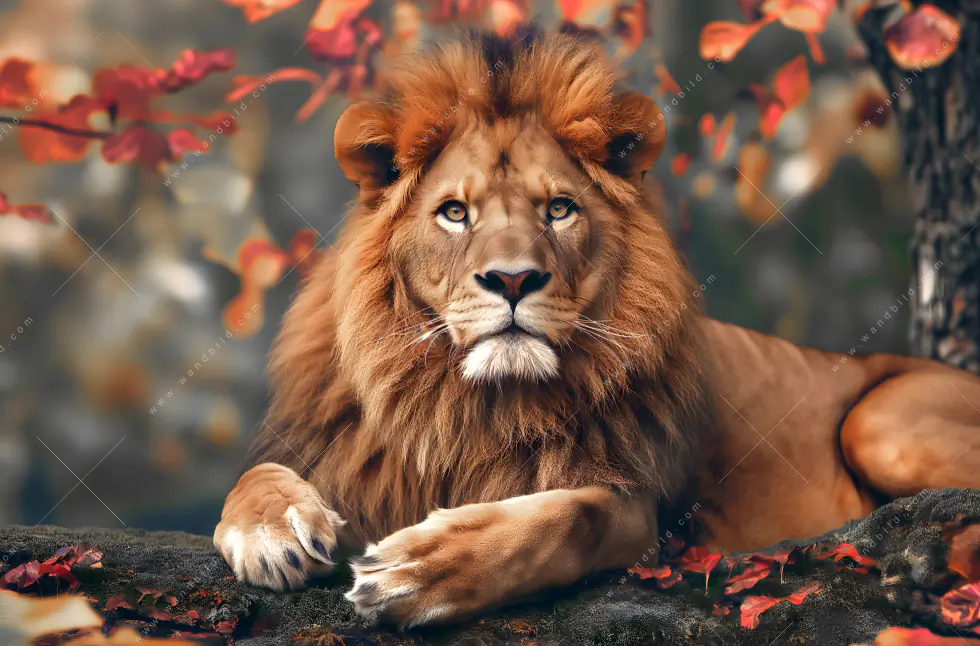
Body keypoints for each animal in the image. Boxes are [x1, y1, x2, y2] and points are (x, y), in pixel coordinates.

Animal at [213, 28, 980, 627]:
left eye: (558, 209)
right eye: (455, 212)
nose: (512, 280)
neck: (467, 402)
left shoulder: (639, 516)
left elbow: (563, 520)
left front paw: (421, 568)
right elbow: (255, 473)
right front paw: (272, 530)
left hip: (880, 423)